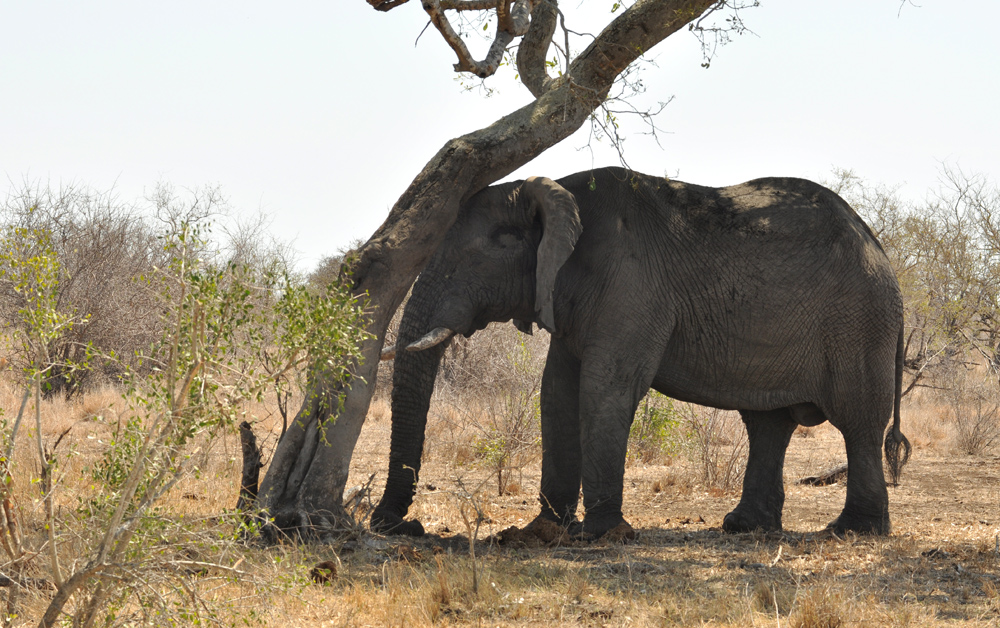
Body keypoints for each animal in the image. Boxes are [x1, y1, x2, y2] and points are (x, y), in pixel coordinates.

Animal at [372, 167, 912, 540]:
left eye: (486, 248)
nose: (398, 526)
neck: (554, 188)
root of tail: (880, 249)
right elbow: (558, 394)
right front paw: (540, 533)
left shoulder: (630, 284)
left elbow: (605, 387)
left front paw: (599, 535)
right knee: (768, 424)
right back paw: (743, 527)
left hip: (859, 321)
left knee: (857, 420)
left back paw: (851, 531)